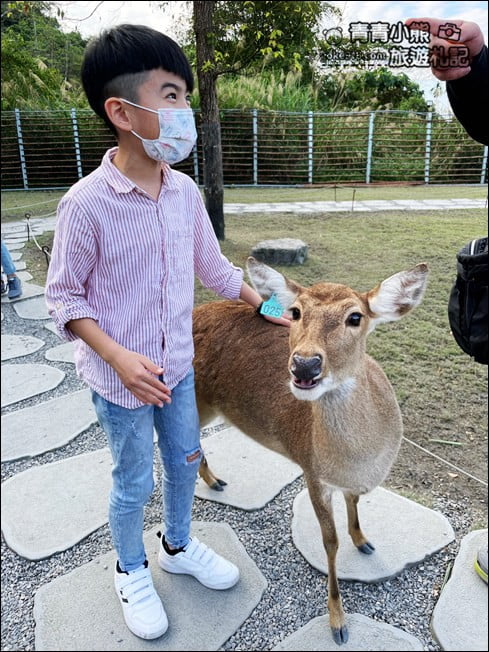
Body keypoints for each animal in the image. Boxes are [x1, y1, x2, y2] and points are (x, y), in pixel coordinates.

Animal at [192, 257, 429, 645]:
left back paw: (214, 481)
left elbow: (354, 503)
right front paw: (338, 623)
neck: (361, 461)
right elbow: (329, 541)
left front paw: (363, 540)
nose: (304, 364)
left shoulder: (344, 480)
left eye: (355, 316)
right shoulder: (311, 470)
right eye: (296, 312)